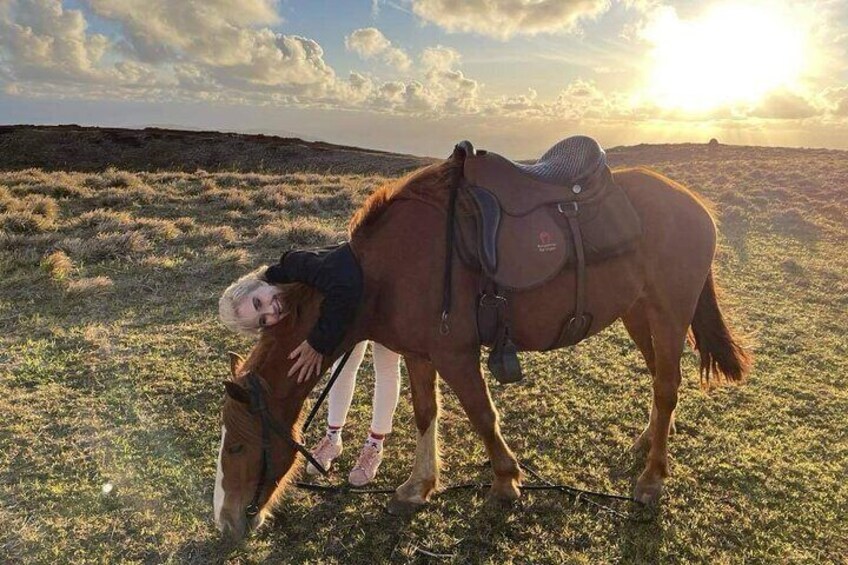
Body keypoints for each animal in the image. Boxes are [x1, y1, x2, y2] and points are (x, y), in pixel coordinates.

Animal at [210, 144, 748, 536]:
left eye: (235, 447)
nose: (227, 523)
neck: (379, 273)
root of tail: (695, 204)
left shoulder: (455, 354)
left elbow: (482, 415)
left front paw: (506, 482)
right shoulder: (420, 354)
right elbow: (425, 413)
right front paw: (418, 487)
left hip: (669, 313)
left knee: (668, 385)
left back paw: (652, 479)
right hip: (638, 314)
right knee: (660, 380)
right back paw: (646, 444)